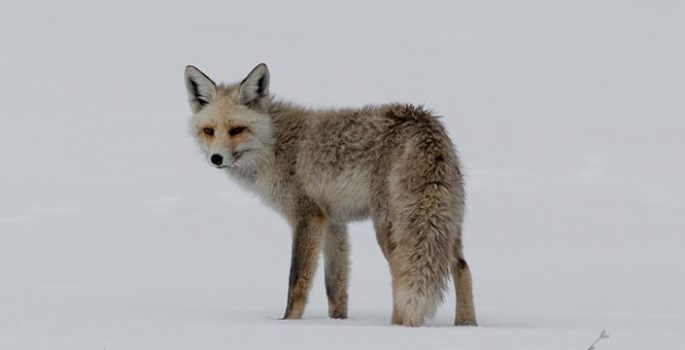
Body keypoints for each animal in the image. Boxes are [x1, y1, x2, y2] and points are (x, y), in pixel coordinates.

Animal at [184, 63, 478, 328]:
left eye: (237, 130)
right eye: (208, 131)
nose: (216, 158)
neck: (276, 147)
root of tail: (424, 121)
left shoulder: (307, 216)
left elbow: (297, 280)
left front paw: (288, 322)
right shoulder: (333, 221)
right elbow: (335, 286)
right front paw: (337, 324)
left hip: (389, 229)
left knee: (403, 275)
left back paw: (399, 327)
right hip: (445, 225)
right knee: (462, 268)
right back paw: (467, 326)